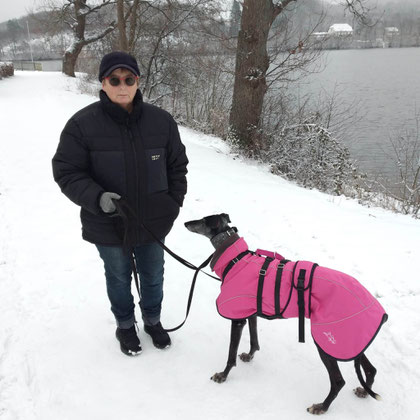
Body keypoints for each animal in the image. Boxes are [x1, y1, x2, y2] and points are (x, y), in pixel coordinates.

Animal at [184, 213, 388, 414]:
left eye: (203, 220)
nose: (186, 222)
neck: (236, 259)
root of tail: (381, 311)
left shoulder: (238, 319)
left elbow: (230, 355)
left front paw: (223, 375)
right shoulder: (250, 312)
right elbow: (254, 340)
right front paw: (249, 356)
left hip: (327, 342)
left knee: (338, 381)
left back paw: (322, 407)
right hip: (349, 342)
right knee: (371, 370)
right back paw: (363, 391)